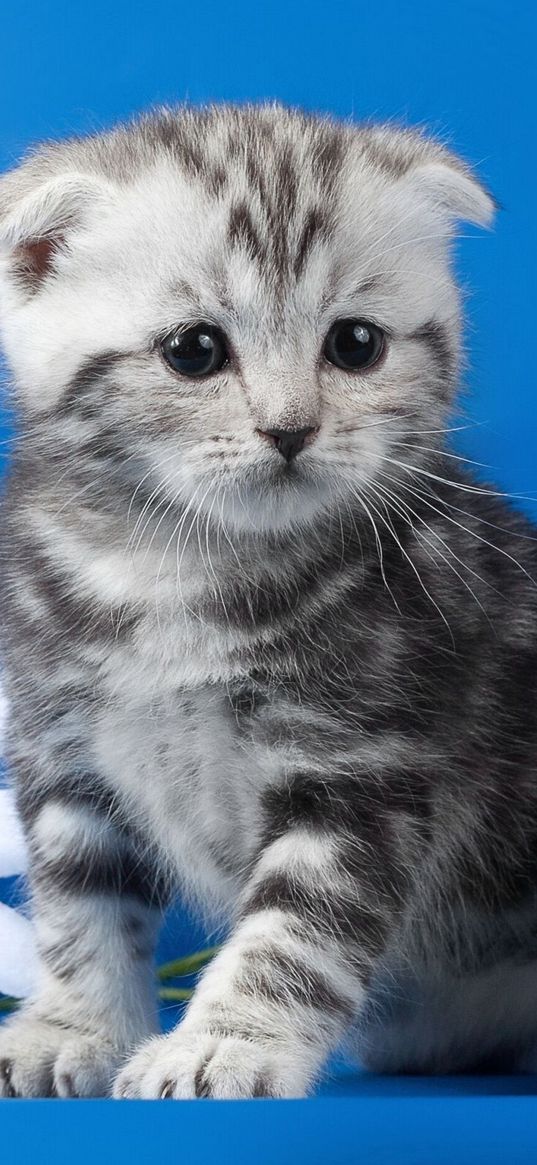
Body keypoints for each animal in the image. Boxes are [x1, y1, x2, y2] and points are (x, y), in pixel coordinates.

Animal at [0, 102, 533, 1099]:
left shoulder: (360, 769)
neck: (178, 568)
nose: (290, 428)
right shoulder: (61, 752)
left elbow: (294, 932)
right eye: (194, 350)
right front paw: (69, 1027)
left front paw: (225, 1042)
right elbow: (81, 906)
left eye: (355, 344)